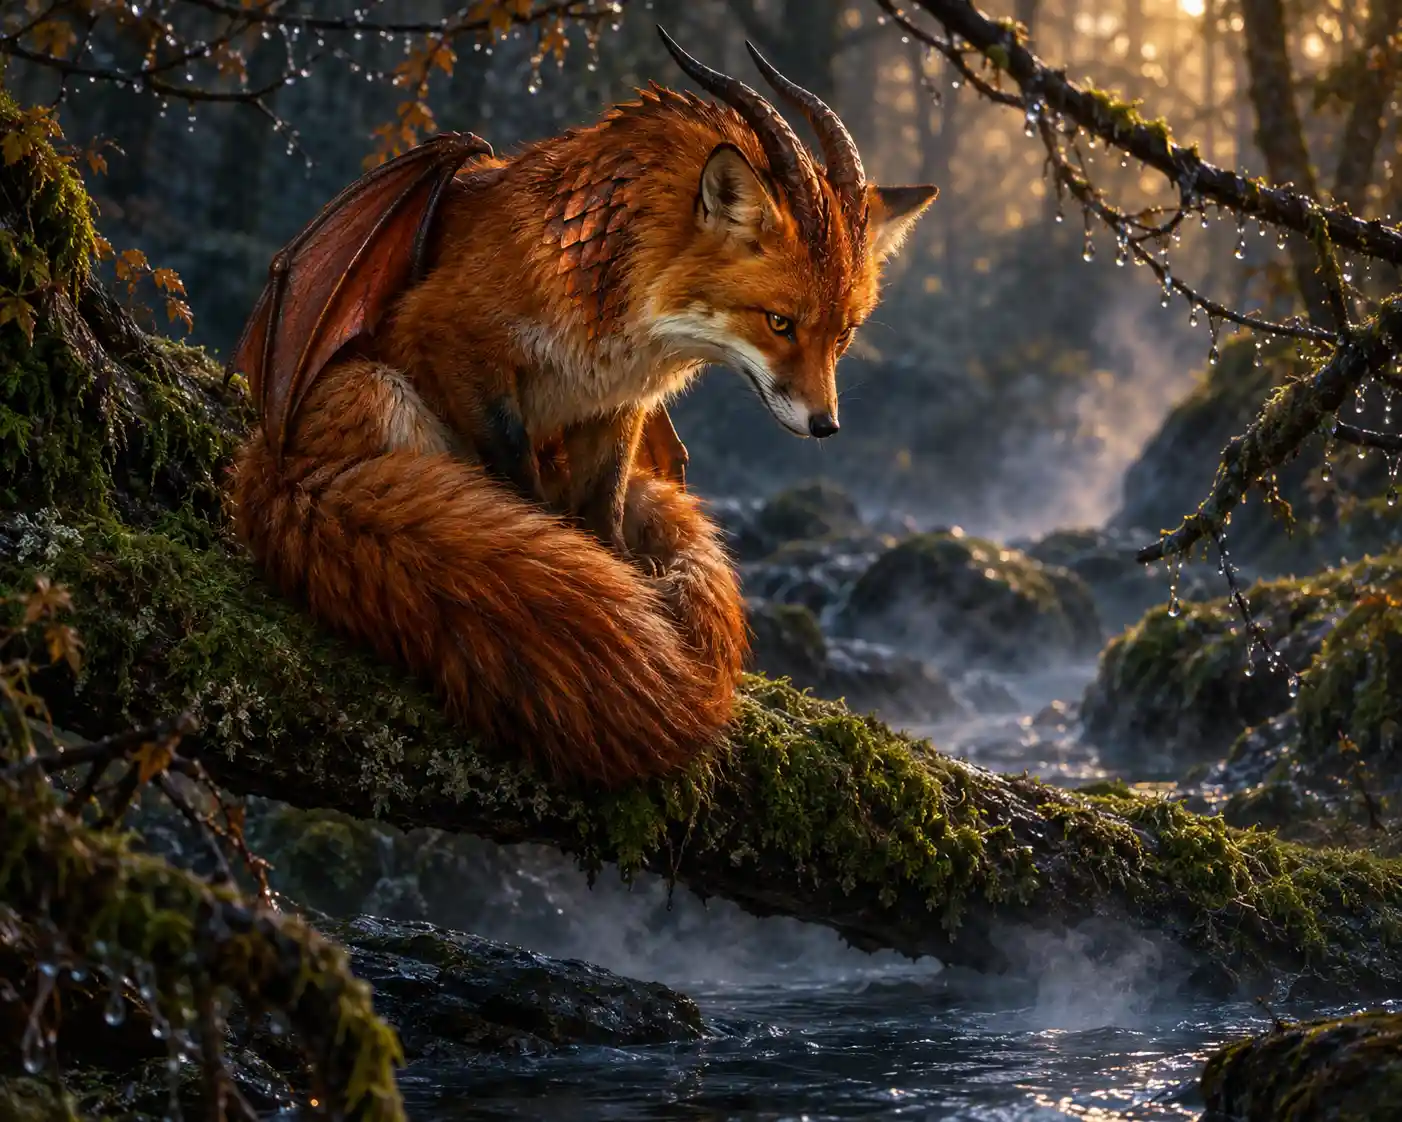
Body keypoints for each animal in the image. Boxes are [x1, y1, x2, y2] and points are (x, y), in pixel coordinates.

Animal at [229, 28, 937, 787]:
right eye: (780, 323)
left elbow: (604, 511)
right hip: (371, 388)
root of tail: (274, 473)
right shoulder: (453, 342)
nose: (825, 425)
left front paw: (627, 581)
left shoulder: (616, 408)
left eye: (844, 334)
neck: (612, 310)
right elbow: (520, 487)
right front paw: (569, 560)